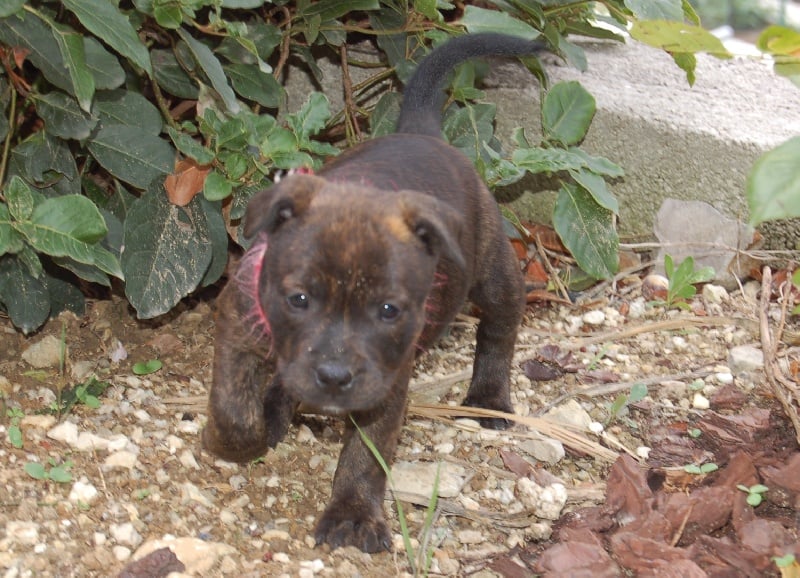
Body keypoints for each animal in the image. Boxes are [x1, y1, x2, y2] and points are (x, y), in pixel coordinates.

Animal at [203, 33, 544, 553]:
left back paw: (488, 397)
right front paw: (241, 439)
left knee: (500, 327)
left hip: (493, 269)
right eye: (299, 299)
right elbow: (231, 408)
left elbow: (366, 455)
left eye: (389, 310)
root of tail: (425, 134)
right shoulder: (236, 329)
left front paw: (353, 514)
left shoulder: (386, 385)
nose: (334, 376)